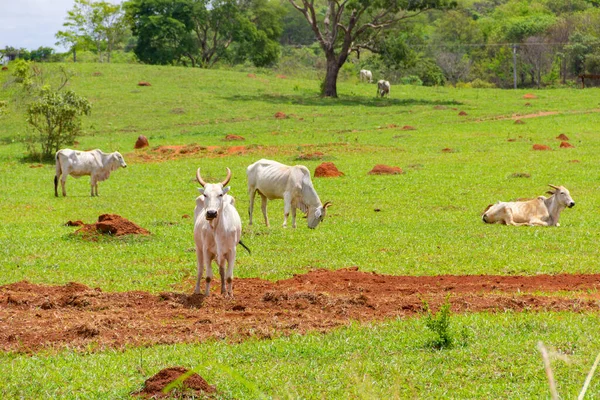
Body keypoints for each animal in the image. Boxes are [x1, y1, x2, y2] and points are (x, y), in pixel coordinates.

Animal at [195, 167, 246, 296]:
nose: (211, 213)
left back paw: (223, 291)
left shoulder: (232, 251)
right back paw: (197, 290)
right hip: (198, 248)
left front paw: (230, 295)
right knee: (200, 269)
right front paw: (207, 294)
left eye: (220, 194)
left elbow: (229, 276)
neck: (217, 229)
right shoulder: (206, 251)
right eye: (205, 194)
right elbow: (208, 276)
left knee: (222, 269)